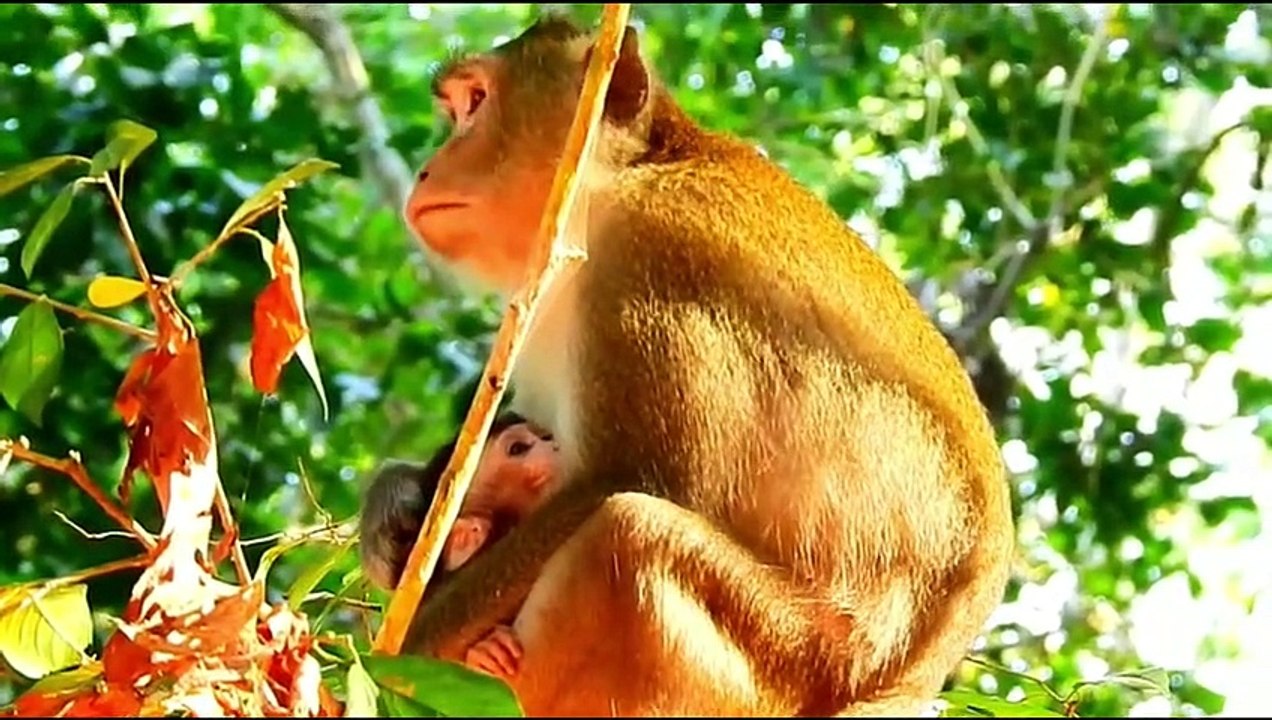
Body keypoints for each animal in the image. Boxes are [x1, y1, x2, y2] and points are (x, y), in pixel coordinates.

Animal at [388, 13, 1014, 717]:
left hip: (786, 662)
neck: (627, 175)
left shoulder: (650, 251)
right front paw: (393, 509)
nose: (425, 171)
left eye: (475, 102)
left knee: (627, 534)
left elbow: (633, 477)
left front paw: (399, 640)